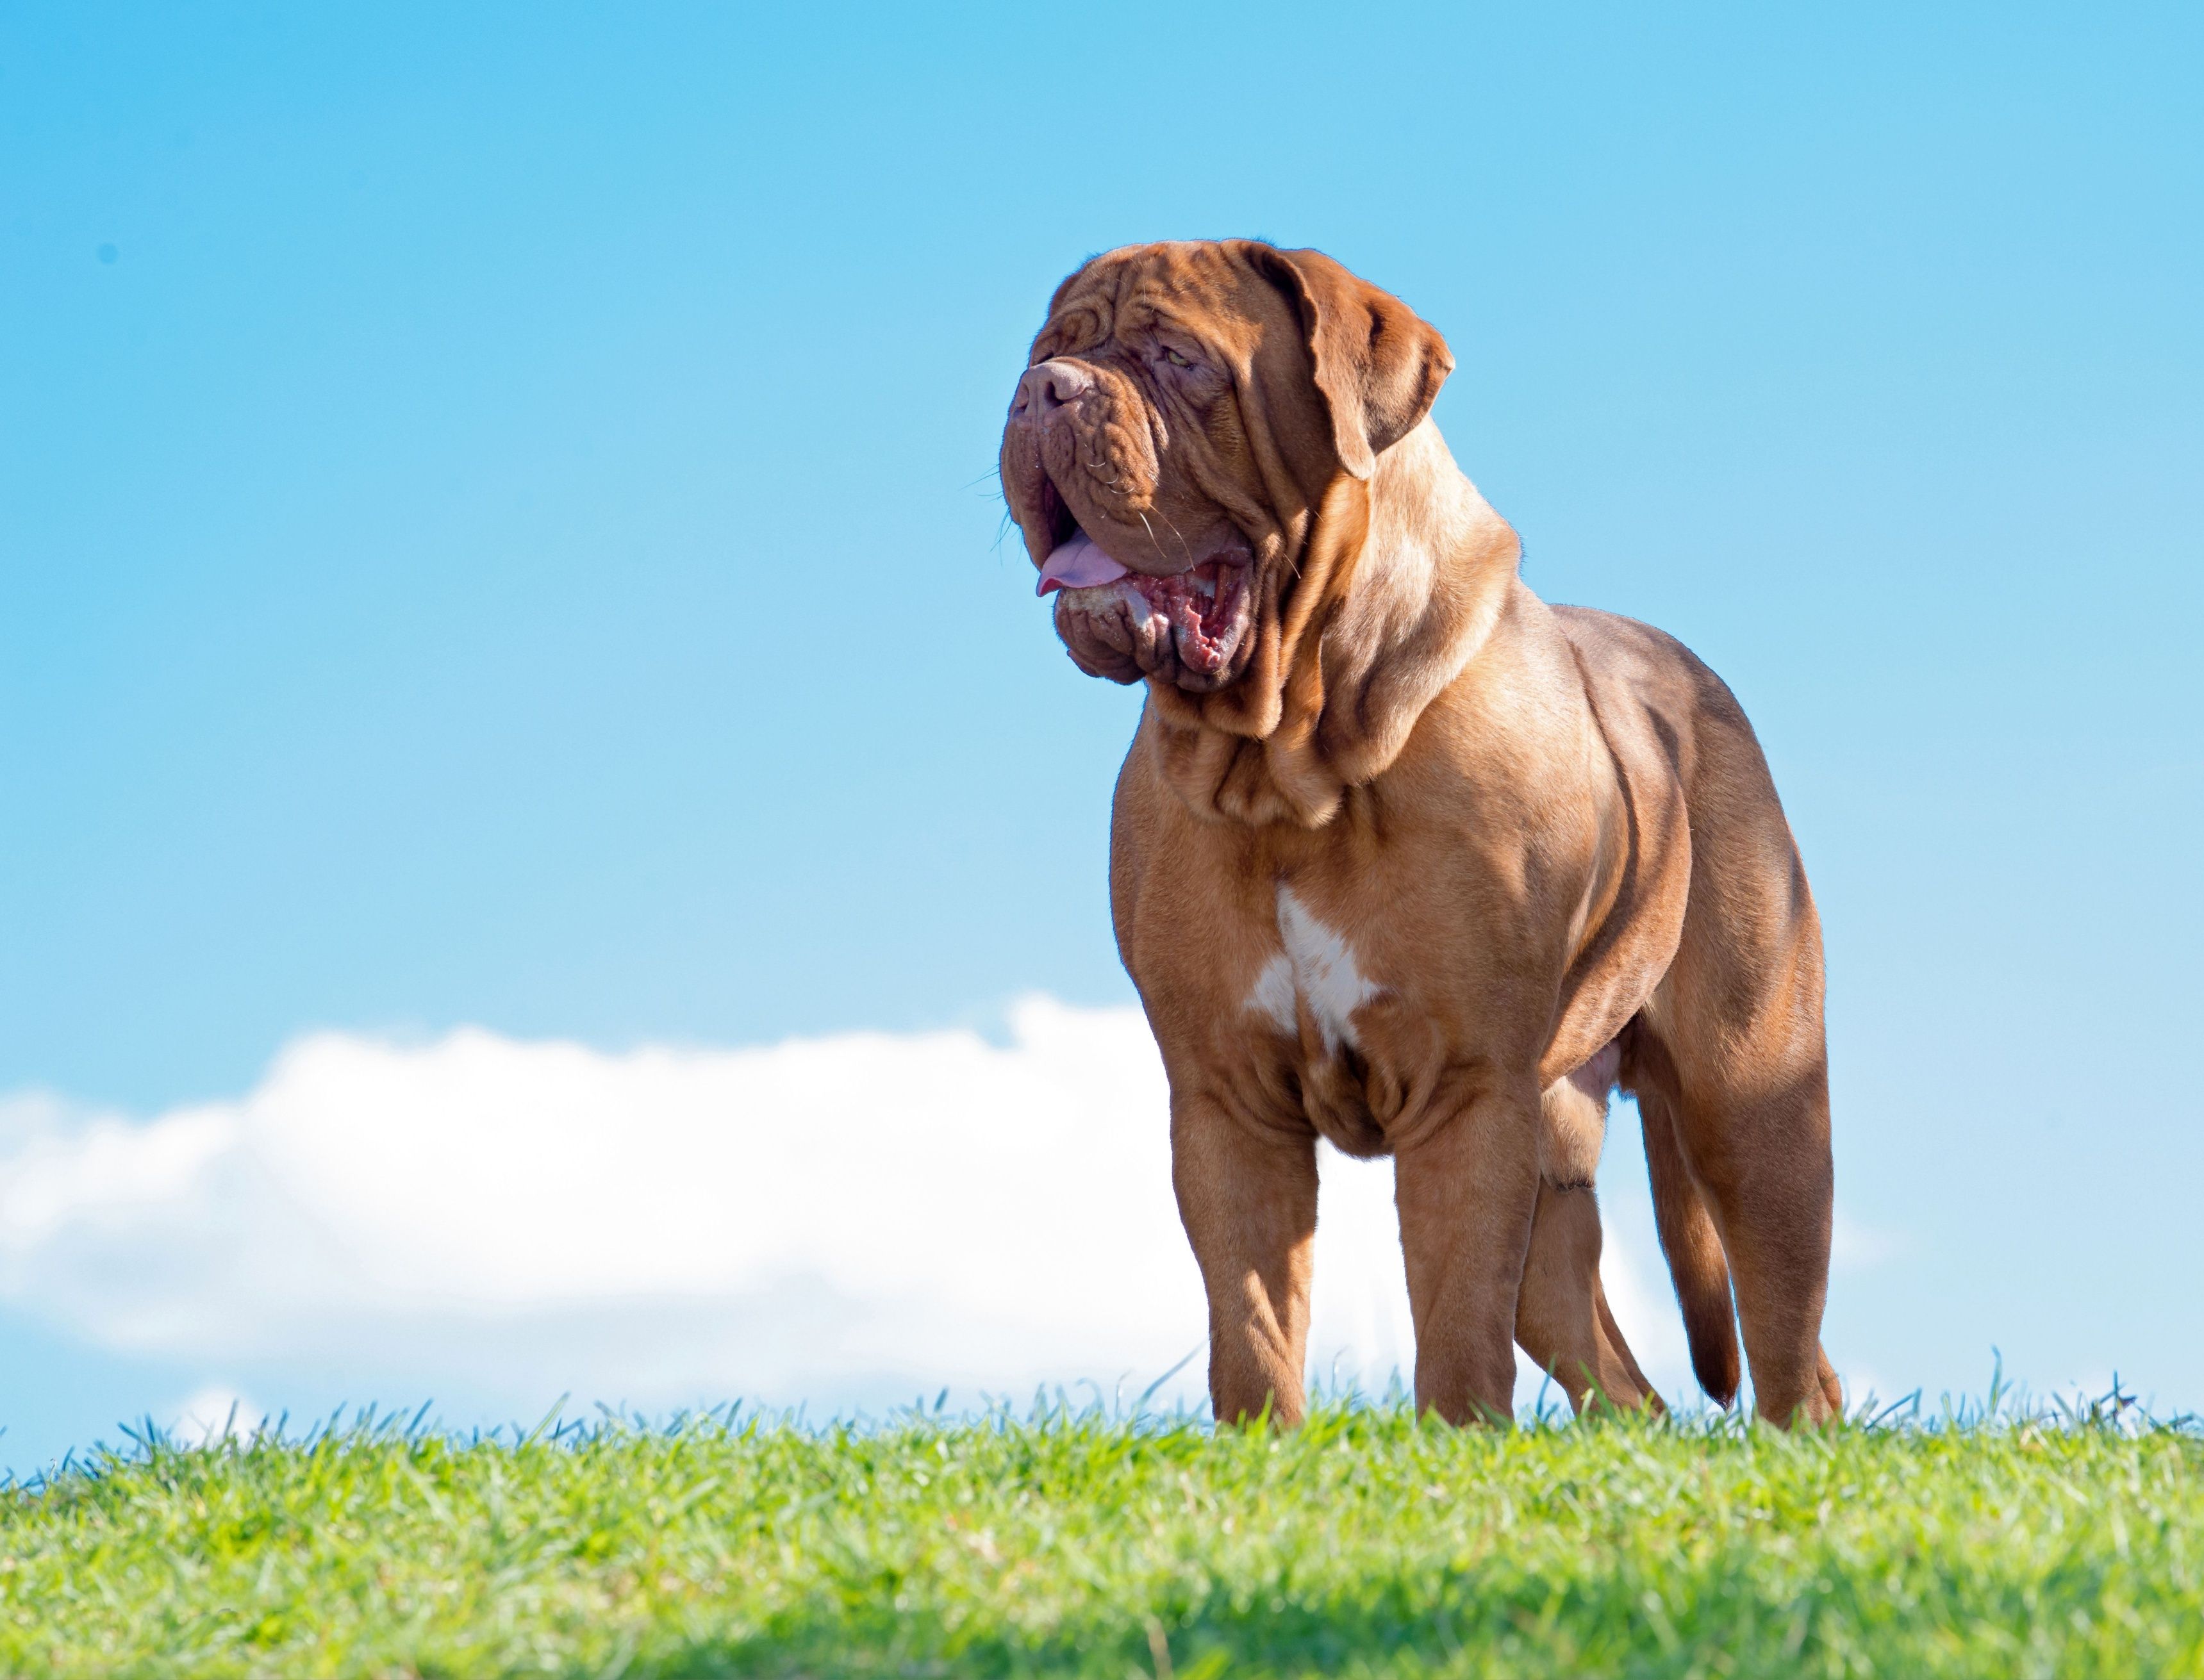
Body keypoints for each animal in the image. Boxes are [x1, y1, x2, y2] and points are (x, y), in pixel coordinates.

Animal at [1000, 242, 1843, 1419]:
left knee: (1787, 1346)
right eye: (1049, 349)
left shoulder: (1461, 1088)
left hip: (1754, 1107)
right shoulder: (1224, 1099)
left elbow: (1452, 1320)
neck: (1292, 762)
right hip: (1558, 1154)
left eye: (1177, 359)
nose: (1042, 392)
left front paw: (1455, 1442)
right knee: (1622, 1377)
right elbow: (1251, 1327)